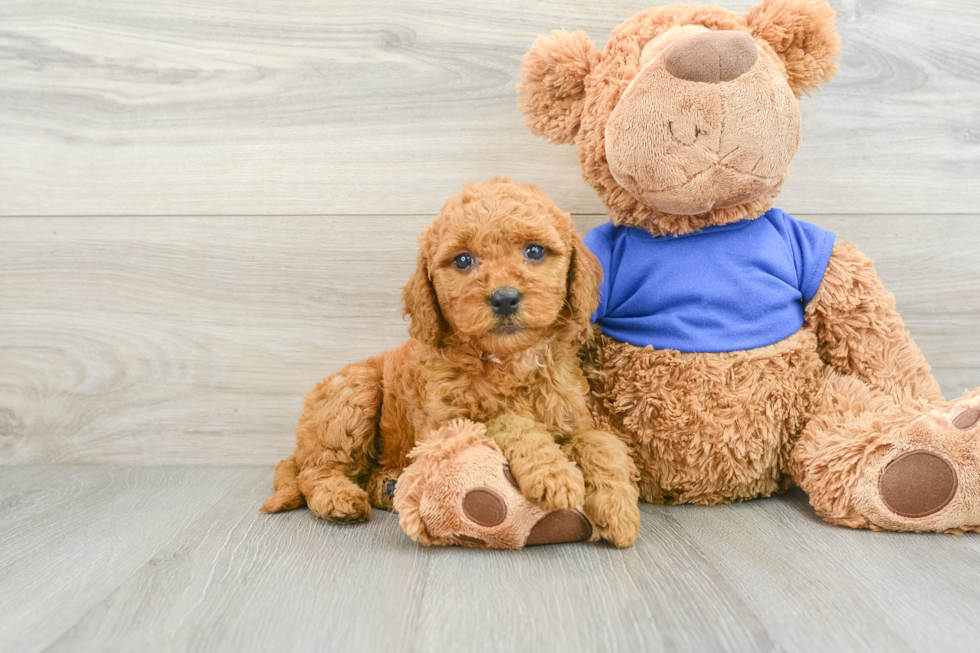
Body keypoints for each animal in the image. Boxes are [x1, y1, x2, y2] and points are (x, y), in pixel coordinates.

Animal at [262, 177, 644, 544]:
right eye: (462, 260)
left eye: (534, 251)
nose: (504, 298)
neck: (509, 361)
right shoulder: (446, 425)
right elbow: (506, 420)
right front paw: (554, 473)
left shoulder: (572, 419)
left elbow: (601, 443)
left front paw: (618, 507)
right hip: (354, 393)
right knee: (316, 469)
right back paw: (338, 498)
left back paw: (388, 486)